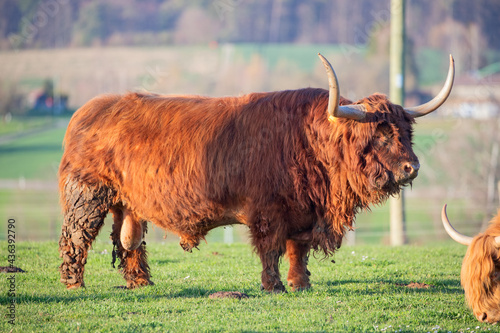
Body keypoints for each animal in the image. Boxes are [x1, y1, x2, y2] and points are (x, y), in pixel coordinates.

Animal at [57, 53, 454, 292]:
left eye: (406, 132)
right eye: (381, 134)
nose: (412, 168)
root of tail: (86, 111)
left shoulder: (302, 210)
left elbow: (298, 248)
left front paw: (301, 284)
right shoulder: (268, 209)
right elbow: (271, 248)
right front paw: (273, 286)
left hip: (127, 203)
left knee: (130, 242)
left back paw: (141, 283)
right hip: (88, 195)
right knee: (75, 238)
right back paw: (74, 284)